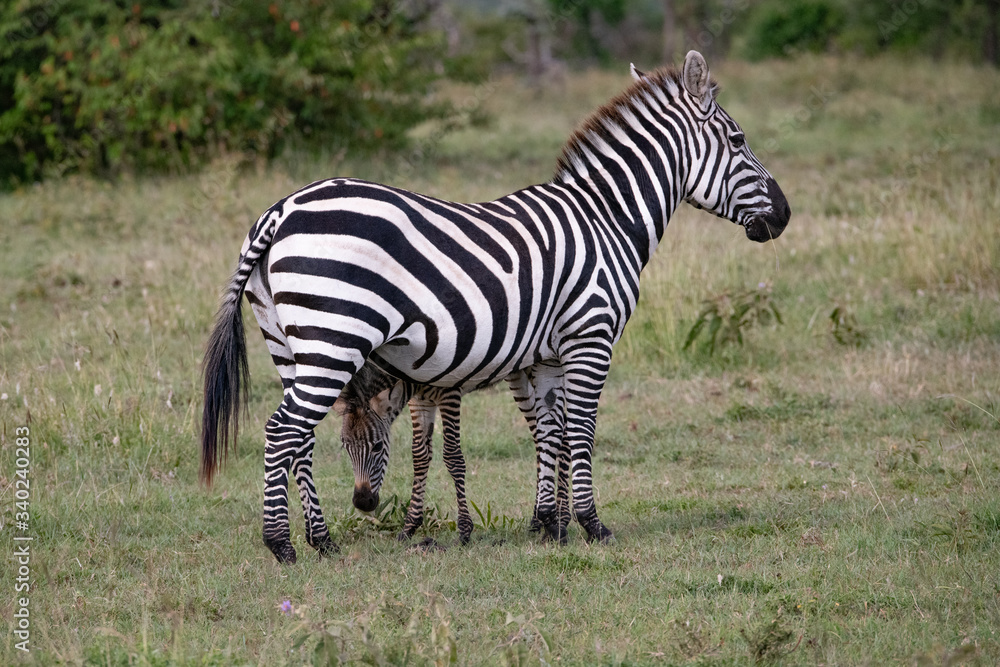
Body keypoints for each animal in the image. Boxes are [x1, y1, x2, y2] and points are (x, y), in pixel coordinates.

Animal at [201, 51, 790, 564]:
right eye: (738, 140)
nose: (784, 215)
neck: (607, 218)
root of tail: (280, 209)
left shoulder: (547, 354)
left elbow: (551, 432)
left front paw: (548, 525)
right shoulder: (591, 336)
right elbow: (581, 430)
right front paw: (591, 525)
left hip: (288, 343)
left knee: (299, 439)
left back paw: (321, 541)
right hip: (334, 338)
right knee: (282, 431)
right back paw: (281, 545)